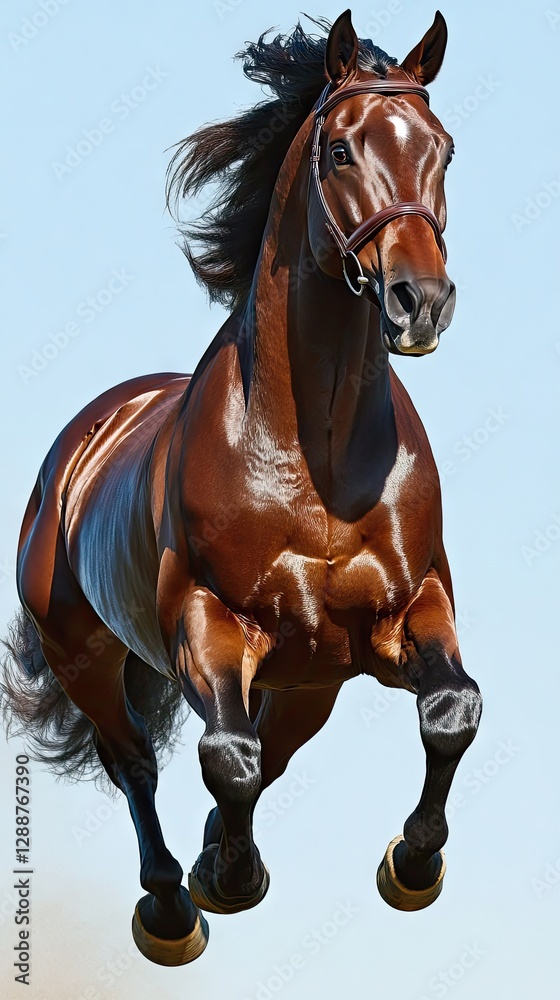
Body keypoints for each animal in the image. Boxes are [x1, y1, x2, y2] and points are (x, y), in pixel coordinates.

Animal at [2, 10, 482, 967]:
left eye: (443, 149)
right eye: (340, 149)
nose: (421, 301)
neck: (319, 461)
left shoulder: (408, 610)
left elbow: (453, 709)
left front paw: (411, 866)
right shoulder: (210, 621)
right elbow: (227, 756)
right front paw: (227, 880)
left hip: (311, 682)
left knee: (269, 751)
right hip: (85, 656)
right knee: (138, 760)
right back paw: (173, 909)